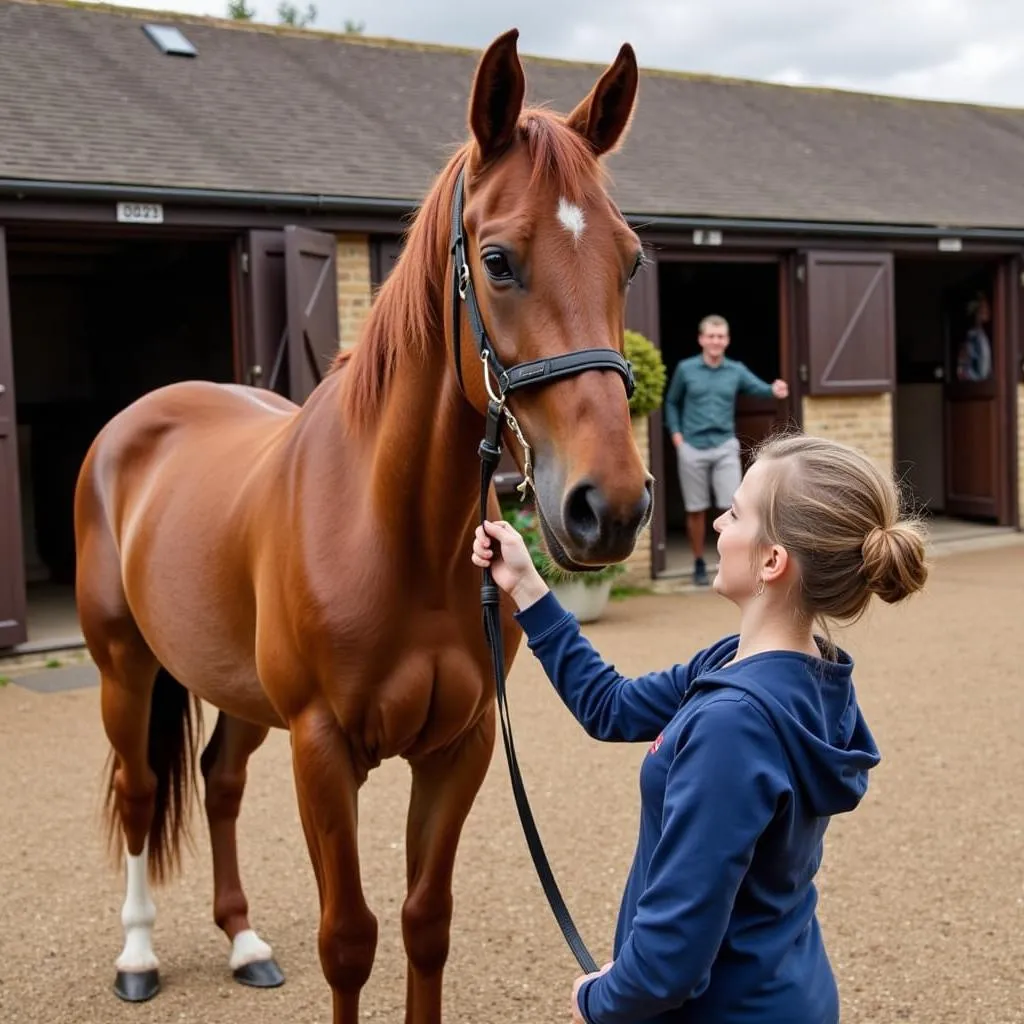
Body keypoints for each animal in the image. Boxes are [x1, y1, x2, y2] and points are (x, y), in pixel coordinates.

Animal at [72, 25, 651, 1024]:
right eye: (499, 259)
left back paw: (245, 943)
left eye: (629, 261)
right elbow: (349, 940)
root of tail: (137, 421)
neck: (393, 533)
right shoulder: (322, 748)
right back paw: (138, 956)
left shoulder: (458, 749)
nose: (608, 506)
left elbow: (425, 924)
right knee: (140, 791)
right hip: (125, 668)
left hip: (234, 690)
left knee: (220, 785)